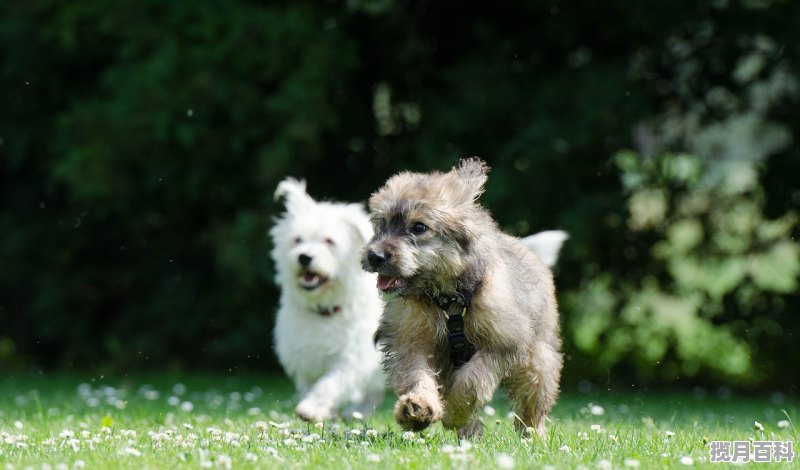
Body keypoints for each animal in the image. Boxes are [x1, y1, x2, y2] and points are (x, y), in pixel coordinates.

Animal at [270, 178, 386, 420]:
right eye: (297, 240)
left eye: (329, 241)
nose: (304, 257)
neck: (324, 308)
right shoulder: (305, 358)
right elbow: (309, 385)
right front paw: (318, 409)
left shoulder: (350, 358)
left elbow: (330, 383)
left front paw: (311, 408)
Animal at [362, 158, 564, 436]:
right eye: (382, 222)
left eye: (419, 227)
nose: (375, 256)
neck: (447, 300)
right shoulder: (411, 340)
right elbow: (416, 374)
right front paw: (418, 407)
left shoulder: (502, 342)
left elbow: (472, 381)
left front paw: (454, 412)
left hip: (538, 362)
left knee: (532, 406)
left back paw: (532, 436)